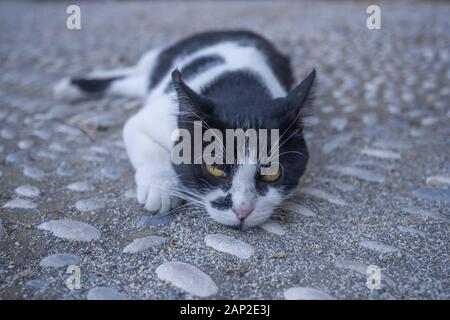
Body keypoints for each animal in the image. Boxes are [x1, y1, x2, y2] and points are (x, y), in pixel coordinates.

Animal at [53, 30, 316, 229]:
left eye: (272, 173)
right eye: (215, 167)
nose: (242, 210)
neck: (241, 89)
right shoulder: (147, 121)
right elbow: (143, 140)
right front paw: (159, 188)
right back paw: (69, 87)